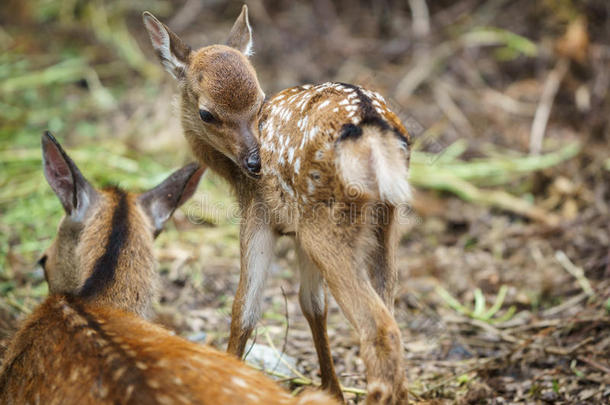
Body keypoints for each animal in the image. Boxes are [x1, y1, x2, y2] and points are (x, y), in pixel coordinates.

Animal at [142, 7, 408, 404]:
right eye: (208, 114)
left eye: (259, 99)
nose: (255, 163)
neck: (233, 175)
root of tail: (373, 127)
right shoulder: (296, 231)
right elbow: (312, 304)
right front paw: (331, 390)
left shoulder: (258, 216)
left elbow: (244, 309)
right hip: (384, 221)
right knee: (390, 311)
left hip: (327, 224)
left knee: (379, 328)